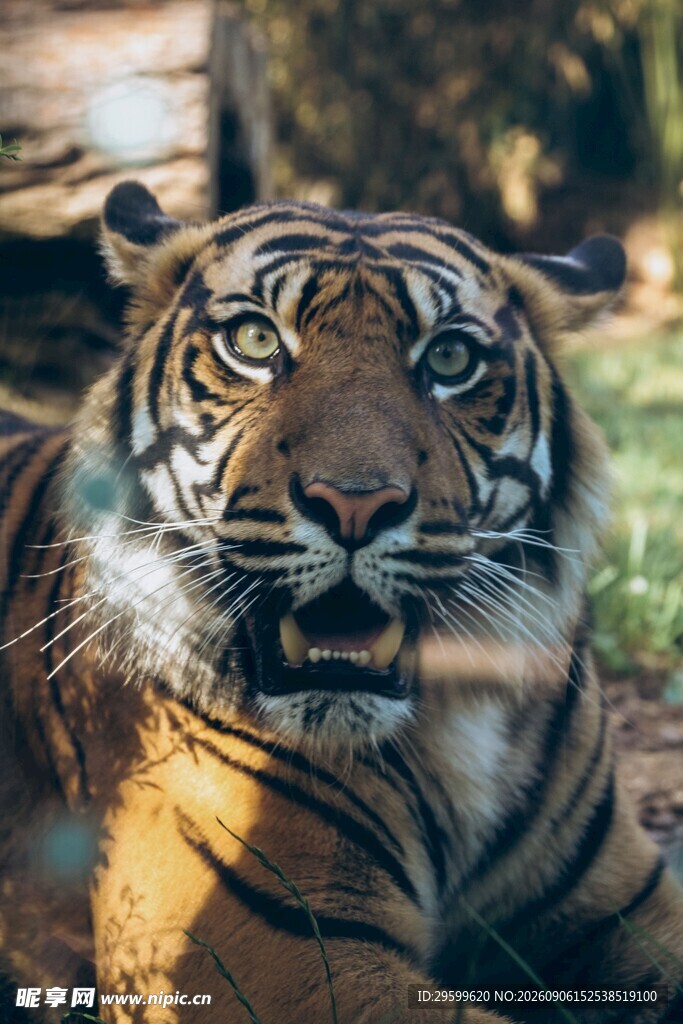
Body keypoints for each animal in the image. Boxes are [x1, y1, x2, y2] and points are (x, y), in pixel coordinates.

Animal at [0, 179, 682, 1024]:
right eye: (255, 342)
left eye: (449, 358)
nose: (355, 504)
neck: (454, 721)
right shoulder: (273, 957)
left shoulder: (626, 906)